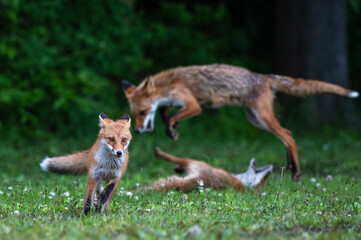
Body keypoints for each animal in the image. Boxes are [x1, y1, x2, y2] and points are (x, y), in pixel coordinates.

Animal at [121, 63, 358, 180]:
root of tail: (263, 76)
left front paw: (172, 128)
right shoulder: (177, 102)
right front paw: (173, 130)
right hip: (256, 120)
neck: (169, 84)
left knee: (288, 137)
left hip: (262, 118)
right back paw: (291, 167)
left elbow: (170, 115)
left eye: (142, 112)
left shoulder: (194, 104)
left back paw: (296, 172)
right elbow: (165, 113)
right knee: (288, 134)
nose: (139, 131)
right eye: (134, 114)